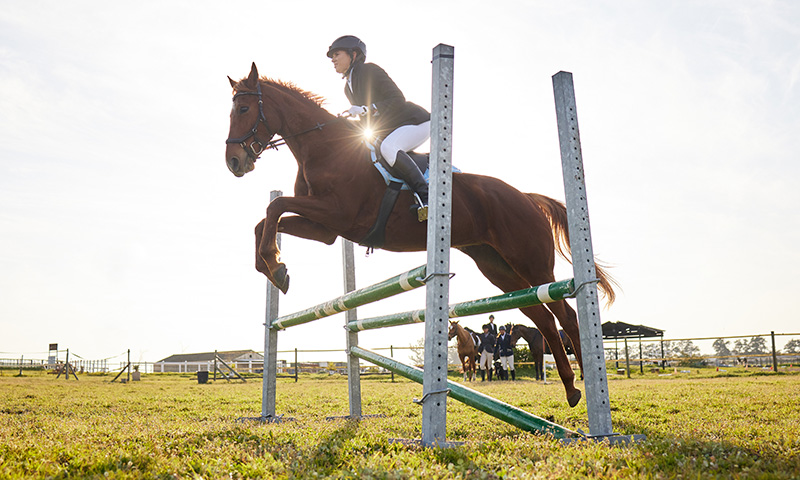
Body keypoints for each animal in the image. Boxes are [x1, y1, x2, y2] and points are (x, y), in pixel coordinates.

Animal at [227, 62, 620, 408]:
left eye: (244, 108)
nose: (234, 162)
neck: (327, 148)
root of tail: (526, 197)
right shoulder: (325, 228)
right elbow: (266, 220)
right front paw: (274, 268)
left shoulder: (337, 214)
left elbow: (275, 208)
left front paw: (276, 266)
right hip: (500, 269)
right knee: (542, 317)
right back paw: (571, 388)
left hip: (531, 263)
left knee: (564, 314)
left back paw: (591, 385)